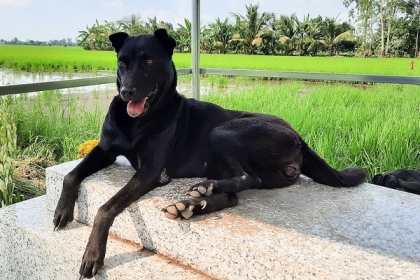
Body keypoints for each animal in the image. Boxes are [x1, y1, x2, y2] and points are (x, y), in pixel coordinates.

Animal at [52, 28, 368, 278]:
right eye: (122, 63)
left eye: (149, 61)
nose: (127, 92)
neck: (137, 121)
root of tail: (299, 137)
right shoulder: (104, 150)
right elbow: (71, 175)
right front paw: (62, 210)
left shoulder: (151, 171)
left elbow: (106, 207)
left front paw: (93, 254)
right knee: (233, 197)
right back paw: (191, 206)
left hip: (224, 131)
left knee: (248, 178)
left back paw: (203, 191)